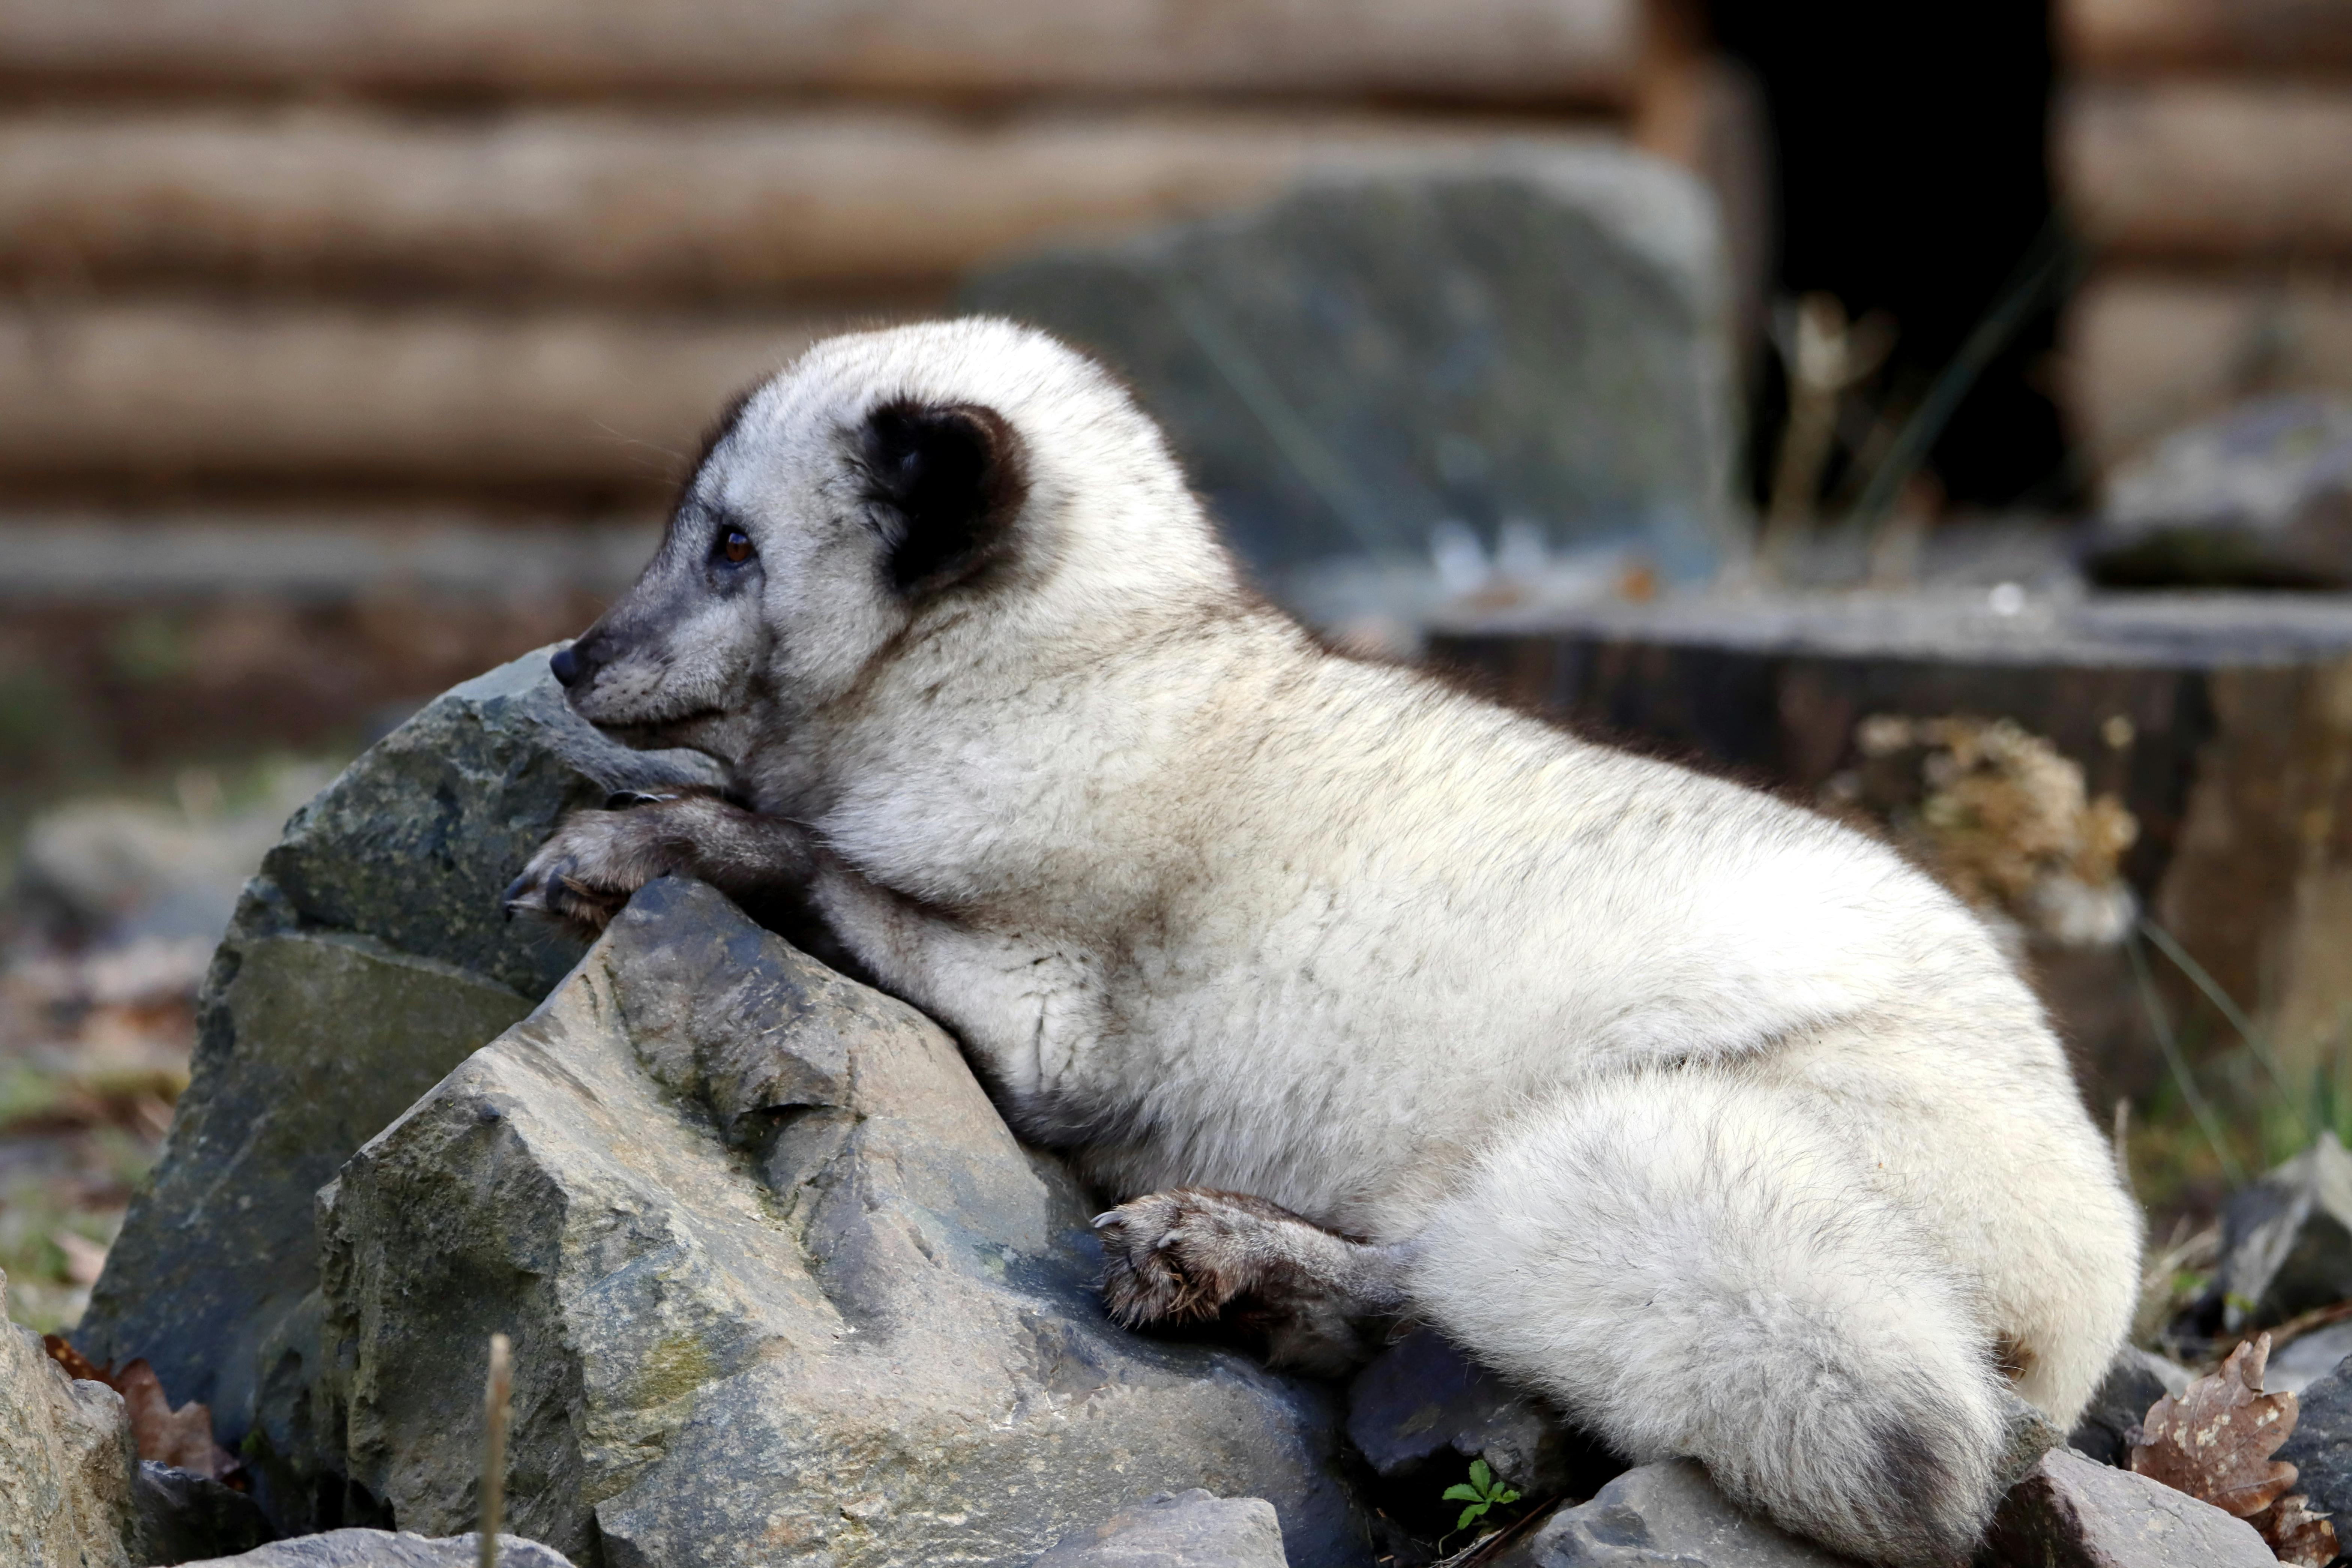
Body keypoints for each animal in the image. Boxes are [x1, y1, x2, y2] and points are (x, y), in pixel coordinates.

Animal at [506, 317, 2140, 1567]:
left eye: (731, 547)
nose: (572, 661)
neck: (1081, 669)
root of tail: (2085, 1312)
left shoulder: (1042, 1011)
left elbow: (798, 858)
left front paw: (625, 845)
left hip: (1635, 1140)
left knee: (1432, 1281)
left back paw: (1213, 1250)